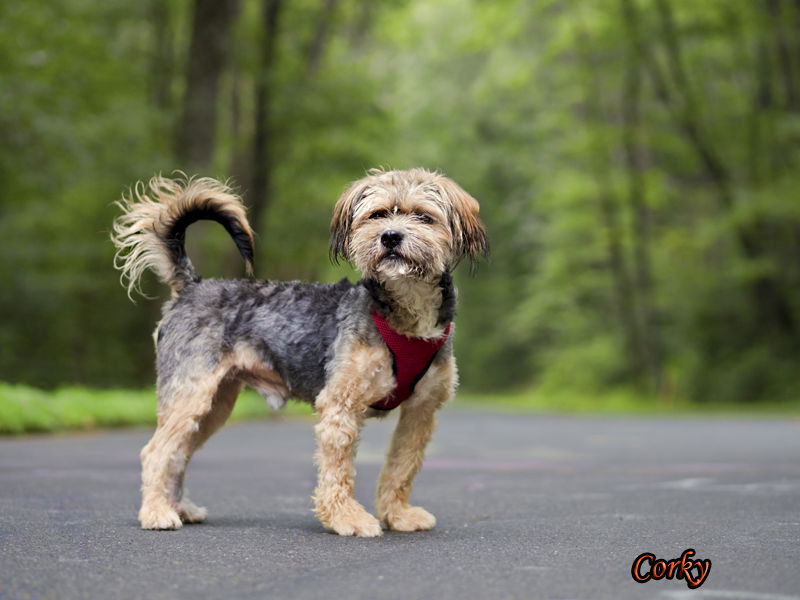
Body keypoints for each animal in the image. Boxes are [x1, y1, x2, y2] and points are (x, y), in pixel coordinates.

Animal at [111, 166, 488, 536]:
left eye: (424, 217)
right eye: (378, 215)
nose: (391, 237)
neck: (405, 316)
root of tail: (192, 285)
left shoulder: (421, 411)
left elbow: (401, 467)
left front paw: (398, 515)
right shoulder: (340, 406)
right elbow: (338, 472)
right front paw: (347, 518)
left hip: (214, 405)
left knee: (178, 455)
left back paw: (180, 508)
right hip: (190, 395)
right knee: (156, 452)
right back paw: (157, 513)